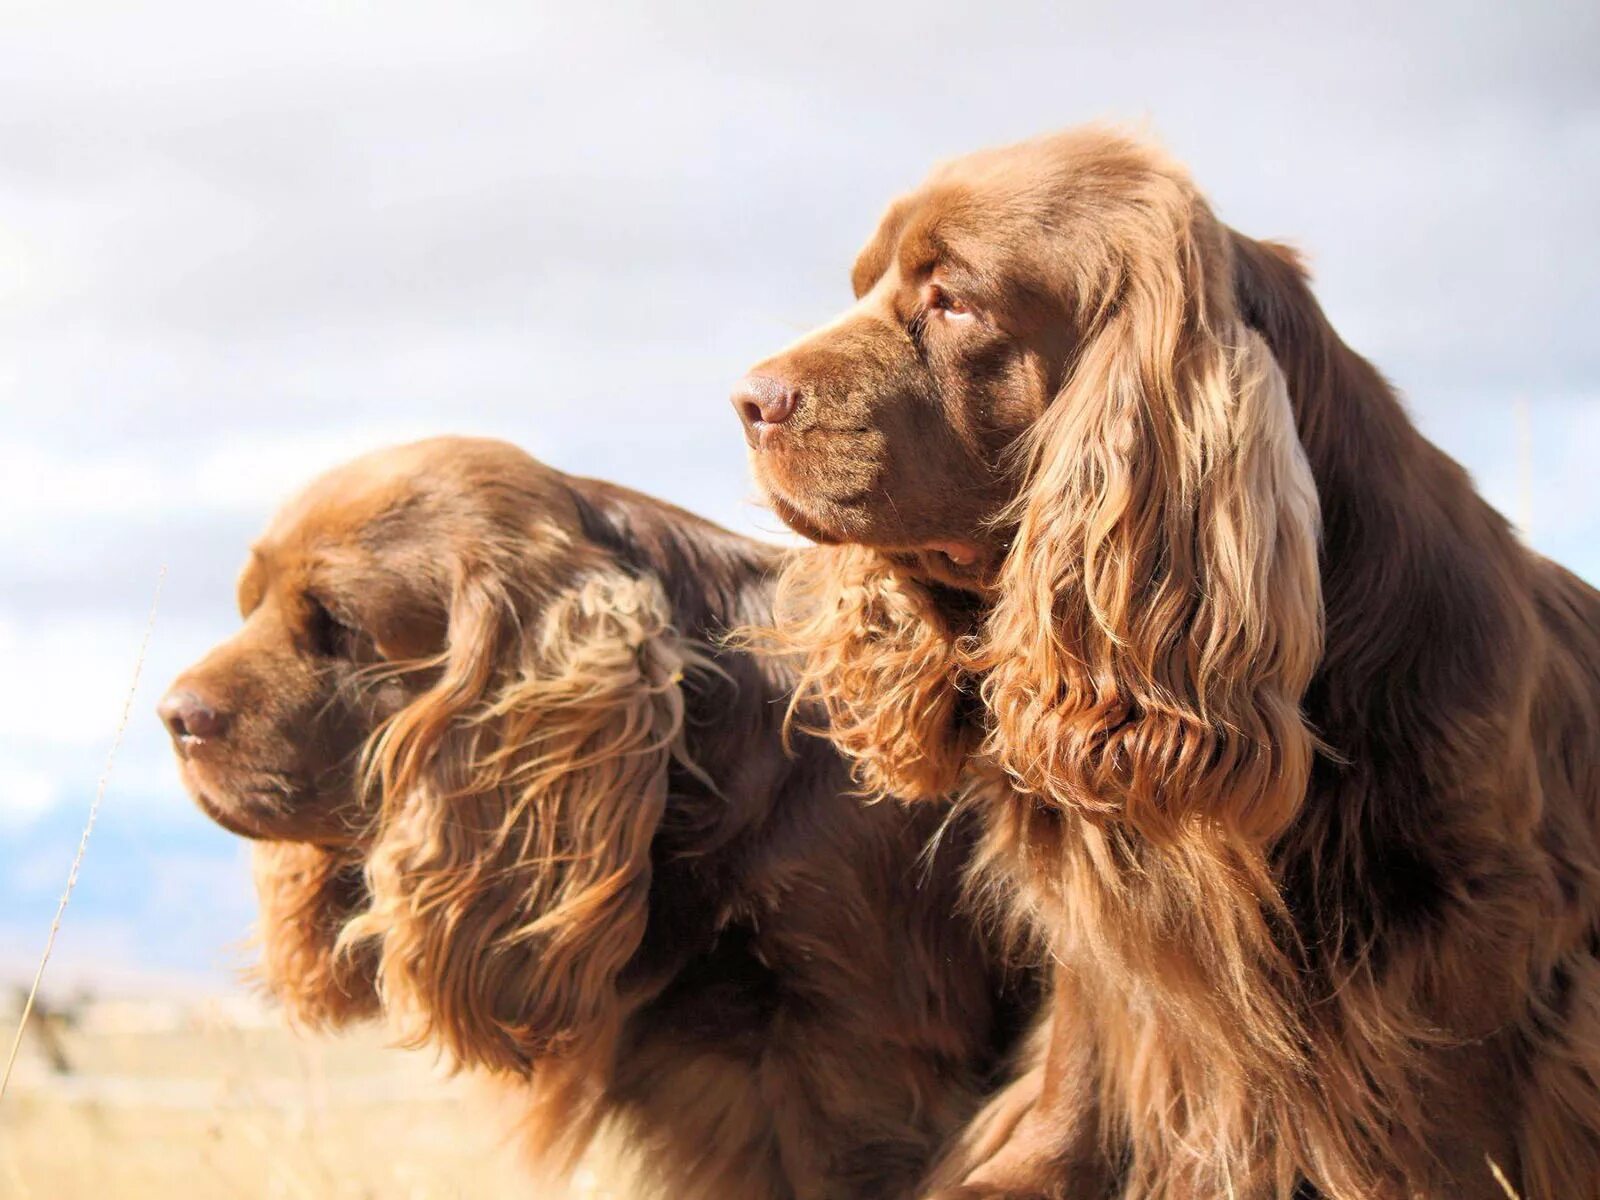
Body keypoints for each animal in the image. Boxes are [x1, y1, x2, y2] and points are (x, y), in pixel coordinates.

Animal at [732, 127, 1600, 1196]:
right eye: (863, 286)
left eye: (954, 299)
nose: (747, 400)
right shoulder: (1098, 938)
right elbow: (1086, 1058)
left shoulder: (1478, 926)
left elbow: (1451, 1121)